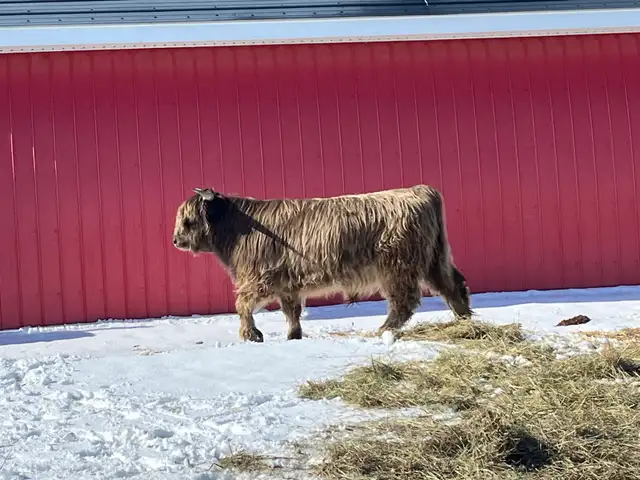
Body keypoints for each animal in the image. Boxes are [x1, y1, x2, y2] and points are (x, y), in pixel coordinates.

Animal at [172, 185, 472, 343]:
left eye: (188, 220)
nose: (175, 240)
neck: (237, 228)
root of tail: (419, 191)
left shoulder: (259, 277)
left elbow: (242, 304)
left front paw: (251, 334)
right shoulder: (287, 283)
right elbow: (291, 311)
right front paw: (293, 336)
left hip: (397, 267)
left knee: (404, 300)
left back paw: (384, 329)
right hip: (435, 258)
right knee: (453, 285)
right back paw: (464, 320)